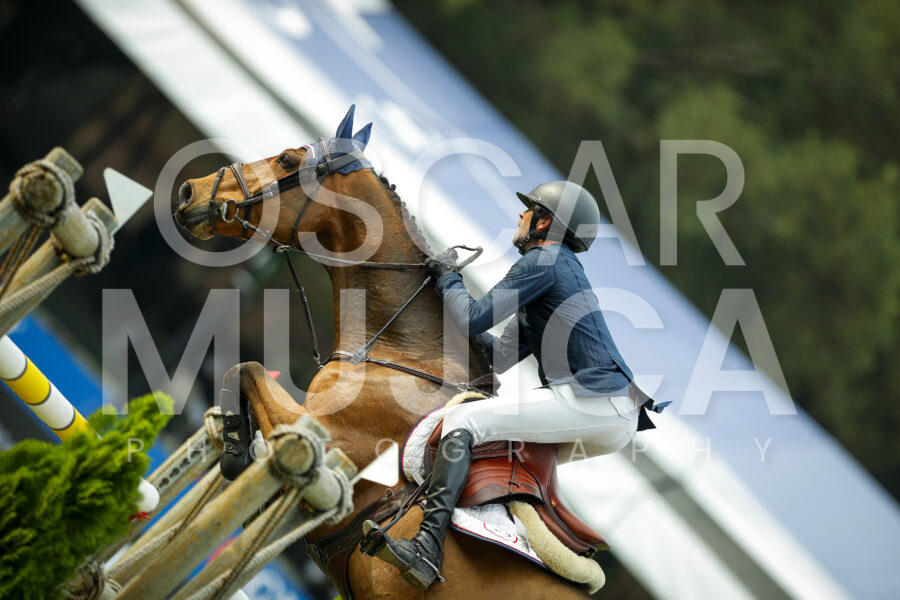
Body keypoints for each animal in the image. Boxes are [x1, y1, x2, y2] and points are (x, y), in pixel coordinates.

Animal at [173, 107, 592, 599]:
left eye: (286, 160)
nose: (190, 191)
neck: (405, 352)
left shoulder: (329, 445)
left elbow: (249, 369)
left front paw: (236, 450)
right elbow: (240, 371)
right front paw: (237, 446)